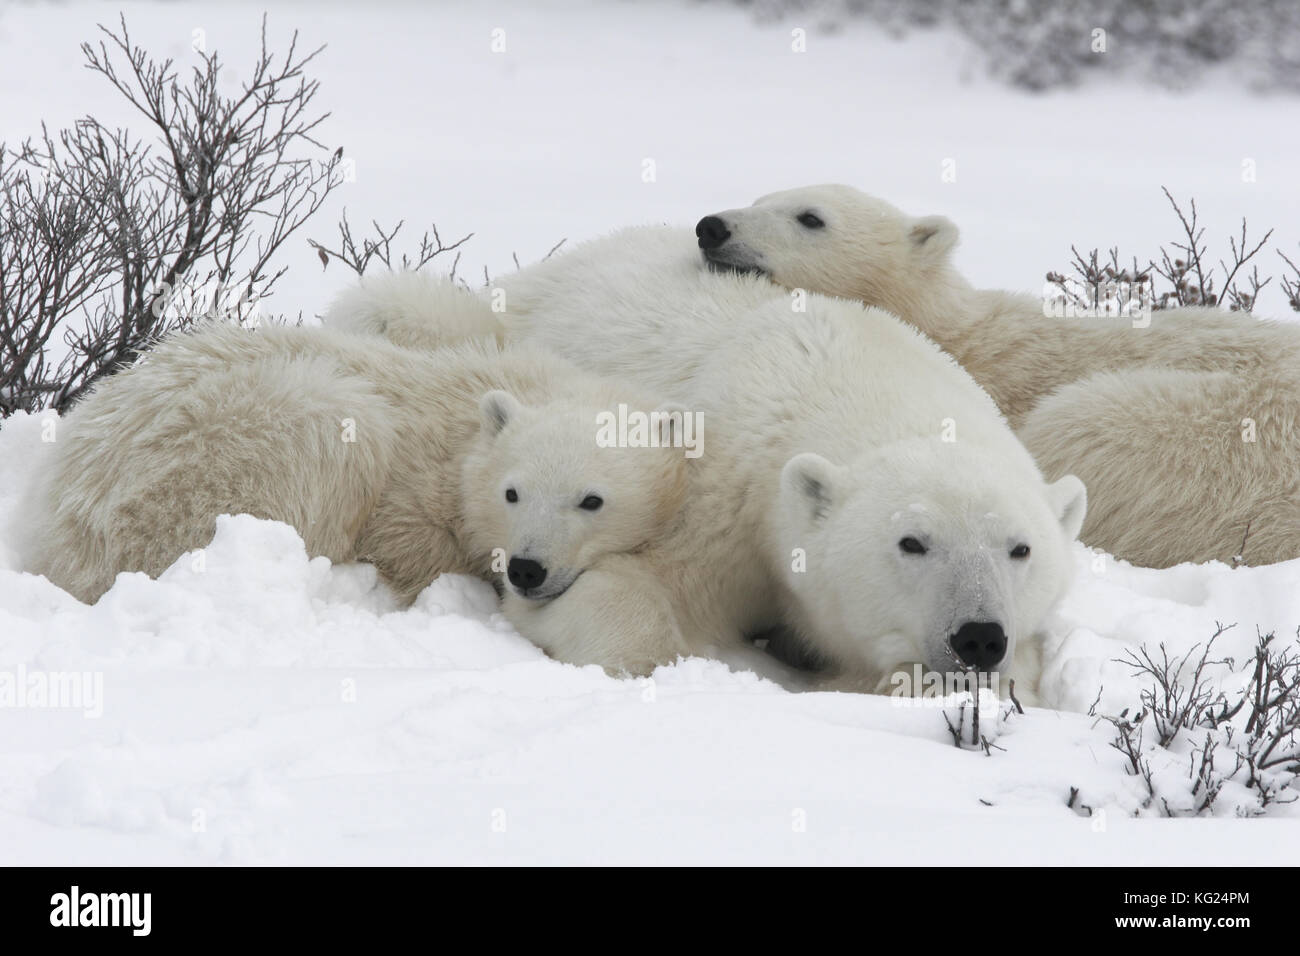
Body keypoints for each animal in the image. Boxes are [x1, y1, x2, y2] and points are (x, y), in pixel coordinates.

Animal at [327, 235, 1086, 697]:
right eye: (913, 542)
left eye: (1020, 548)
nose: (979, 636)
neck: (849, 381)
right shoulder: (721, 486)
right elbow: (635, 596)